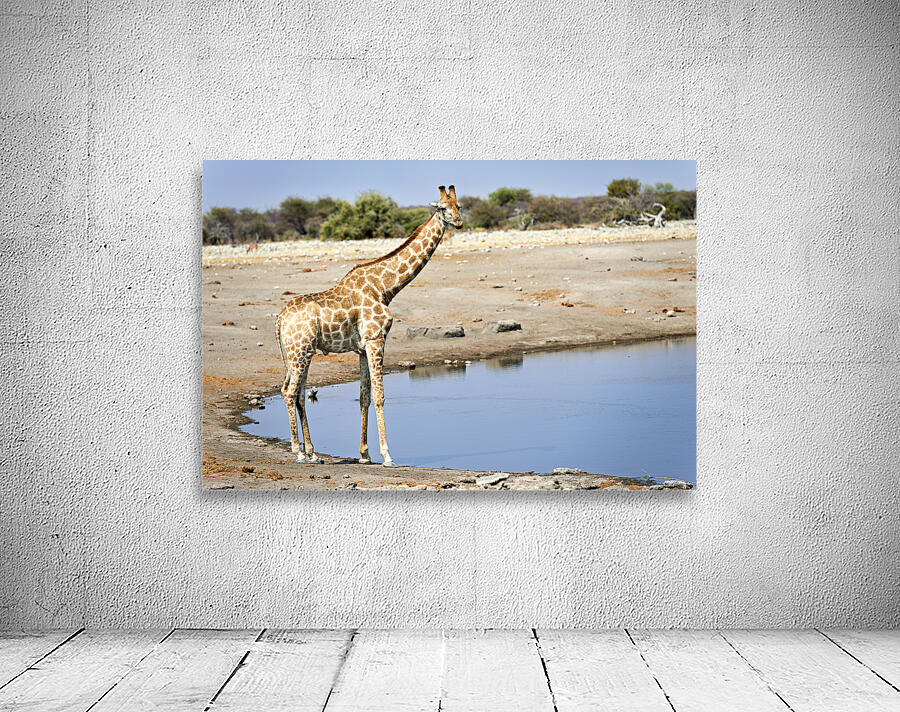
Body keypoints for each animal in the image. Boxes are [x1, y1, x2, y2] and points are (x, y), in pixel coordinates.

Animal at [275, 185, 463, 465]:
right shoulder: (376, 340)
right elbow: (379, 396)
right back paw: (298, 452)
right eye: (442, 208)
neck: (385, 288)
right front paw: (387, 454)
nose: (458, 222)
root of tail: (279, 319)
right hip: (299, 351)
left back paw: (313, 453)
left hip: (300, 353)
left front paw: (364, 454)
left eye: (458, 205)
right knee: (289, 391)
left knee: (298, 393)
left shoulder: (362, 348)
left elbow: (364, 396)